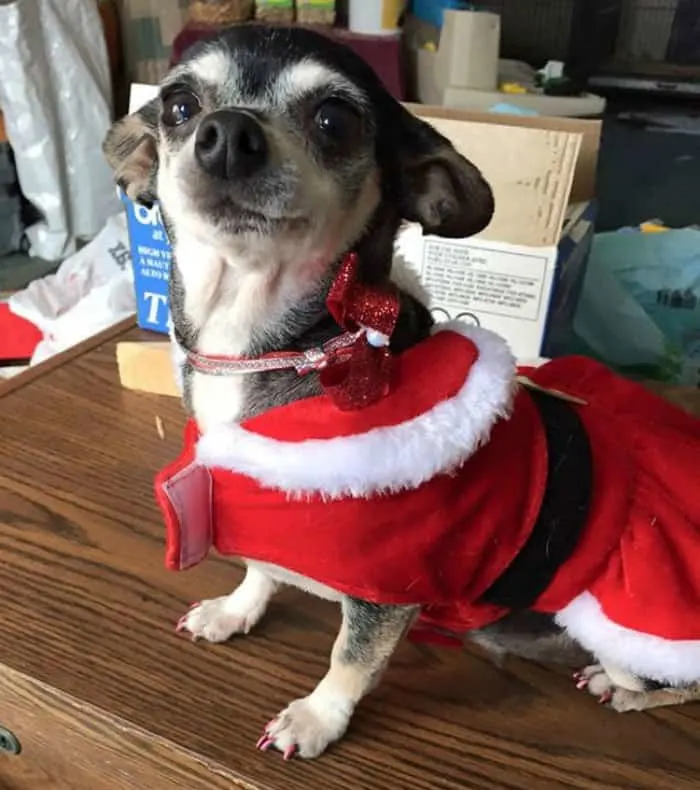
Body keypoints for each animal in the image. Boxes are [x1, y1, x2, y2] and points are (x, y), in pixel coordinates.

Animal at [104, 27, 700, 764]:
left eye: (335, 120)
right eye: (180, 106)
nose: (227, 135)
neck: (277, 343)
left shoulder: (392, 589)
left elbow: (350, 657)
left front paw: (316, 717)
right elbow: (263, 569)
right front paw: (235, 609)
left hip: (633, 626)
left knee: (668, 685)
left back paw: (616, 688)